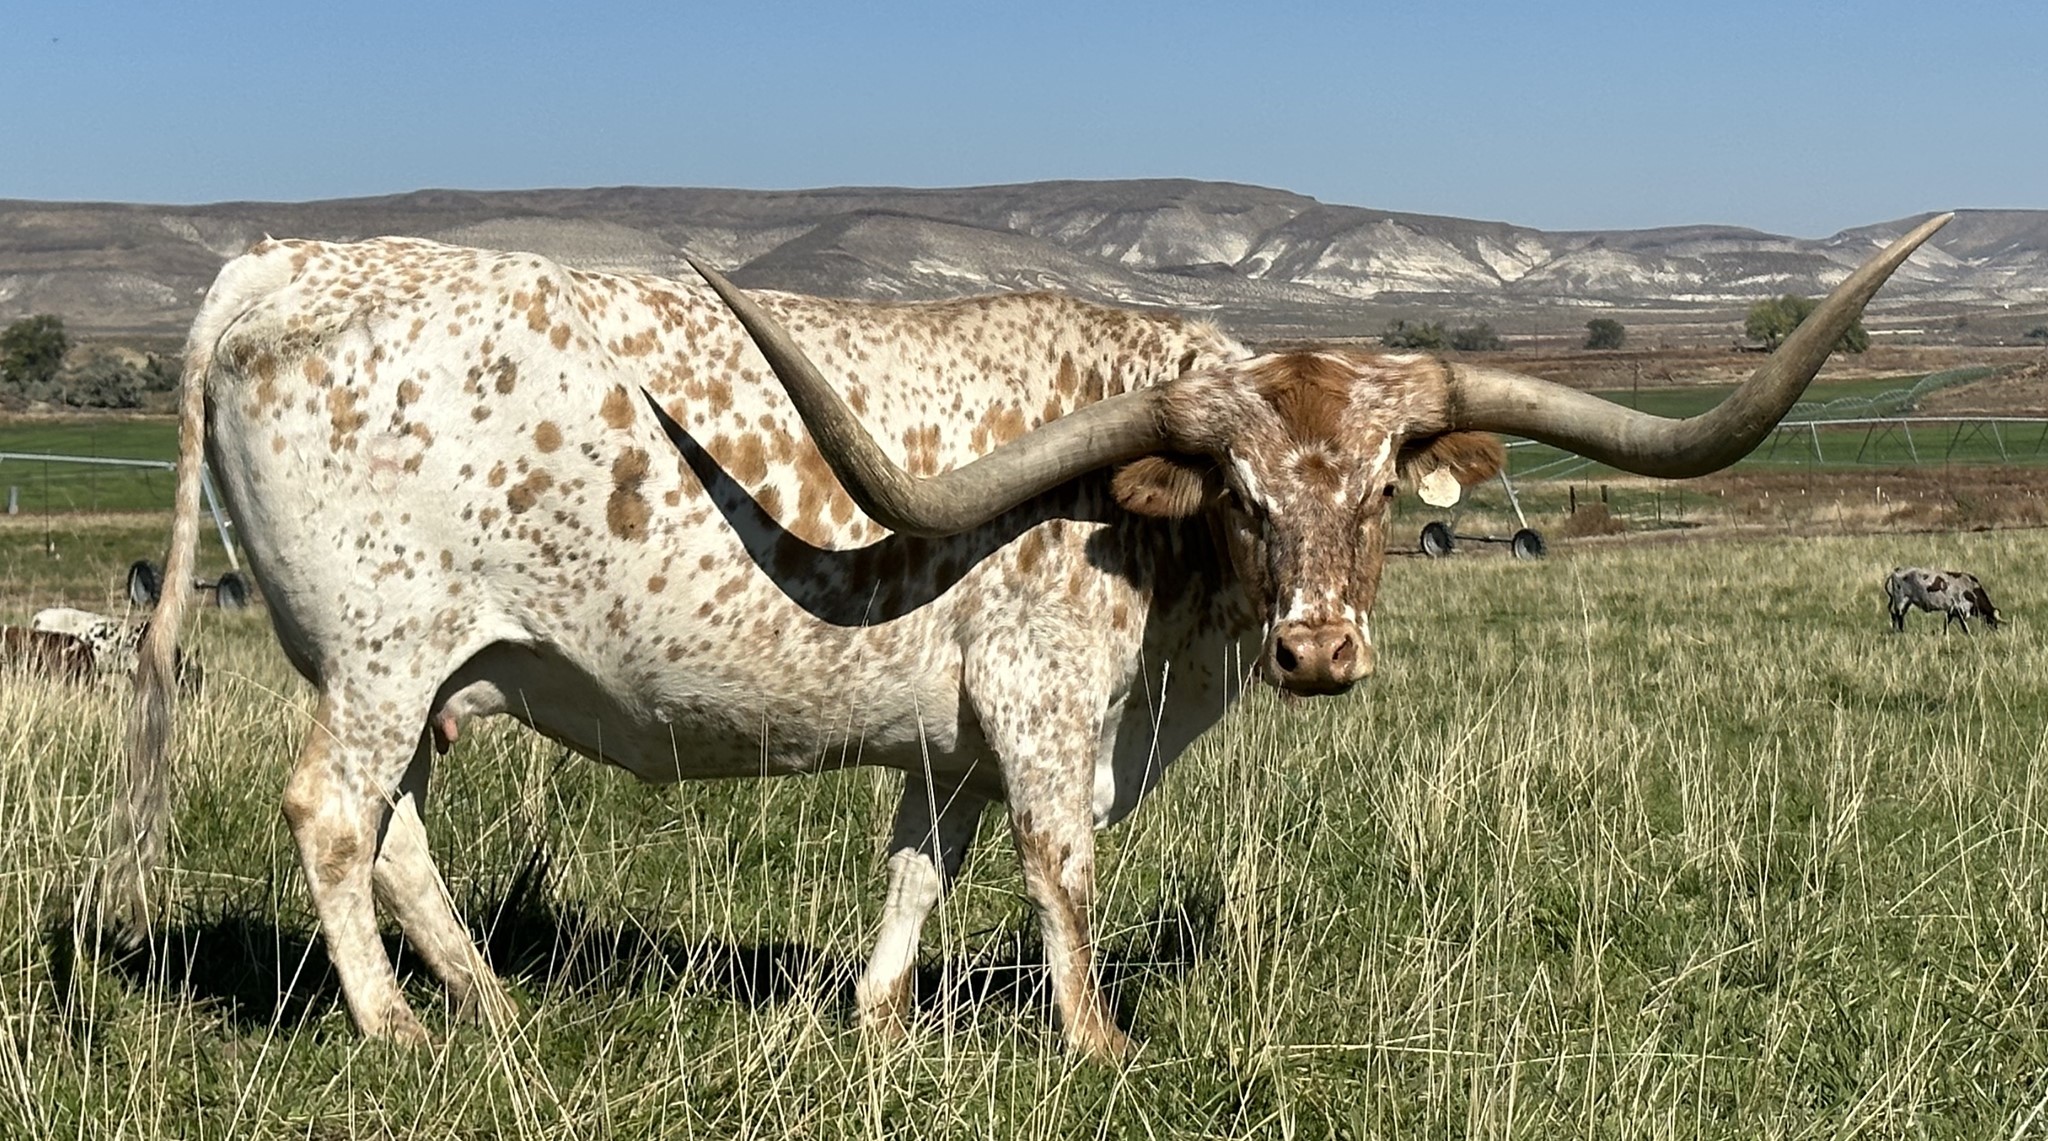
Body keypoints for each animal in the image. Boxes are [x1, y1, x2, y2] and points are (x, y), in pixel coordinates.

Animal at [103, 213, 1948, 1060]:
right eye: (1239, 494)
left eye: (1374, 489)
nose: (1318, 652)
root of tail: (276, 266)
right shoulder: (1049, 706)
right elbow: (1062, 864)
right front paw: (1095, 1038)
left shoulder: (955, 734)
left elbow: (920, 867)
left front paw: (873, 1017)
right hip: (382, 651)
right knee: (331, 816)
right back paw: (397, 1028)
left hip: (412, 669)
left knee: (399, 831)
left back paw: (487, 1003)